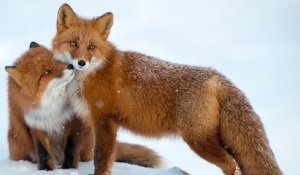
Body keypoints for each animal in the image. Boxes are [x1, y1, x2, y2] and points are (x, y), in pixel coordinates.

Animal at [4, 42, 162, 171]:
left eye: (56, 60)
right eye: (46, 72)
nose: (70, 66)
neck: (53, 106)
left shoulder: (75, 120)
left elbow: (71, 147)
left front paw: (69, 168)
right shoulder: (37, 123)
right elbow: (43, 152)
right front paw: (46, 170)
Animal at [52, 4, 282, 175]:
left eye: (91, 47)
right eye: (73, 43)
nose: (81, 62)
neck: (91, 74)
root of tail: (216, 76)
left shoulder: (104, 119)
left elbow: (101, 160)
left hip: (199, 140)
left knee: (230, 163)